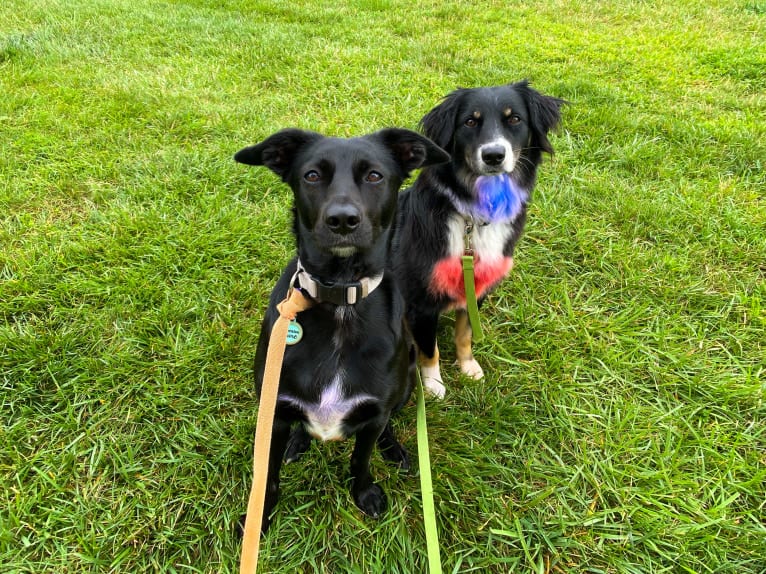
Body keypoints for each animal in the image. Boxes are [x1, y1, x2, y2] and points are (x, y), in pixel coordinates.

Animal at [234, 128, 450, 532]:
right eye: (312, 175)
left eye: (375, 176)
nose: (342, 220)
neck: (341, 298)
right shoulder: (272, 413)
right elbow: (268, 475)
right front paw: (261, 517)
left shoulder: (374, 413)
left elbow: (360, 459)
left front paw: (364, 493)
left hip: (408, 380)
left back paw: (394, 448)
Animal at [392, 81, 568, 398]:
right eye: (470, 122)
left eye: (514, 119)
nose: (494, 155)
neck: (474, 215)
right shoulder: (421, 301)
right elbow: (429, 349)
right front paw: (434, 385)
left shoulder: (477, 285)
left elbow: (465, 333)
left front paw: (468, 367)